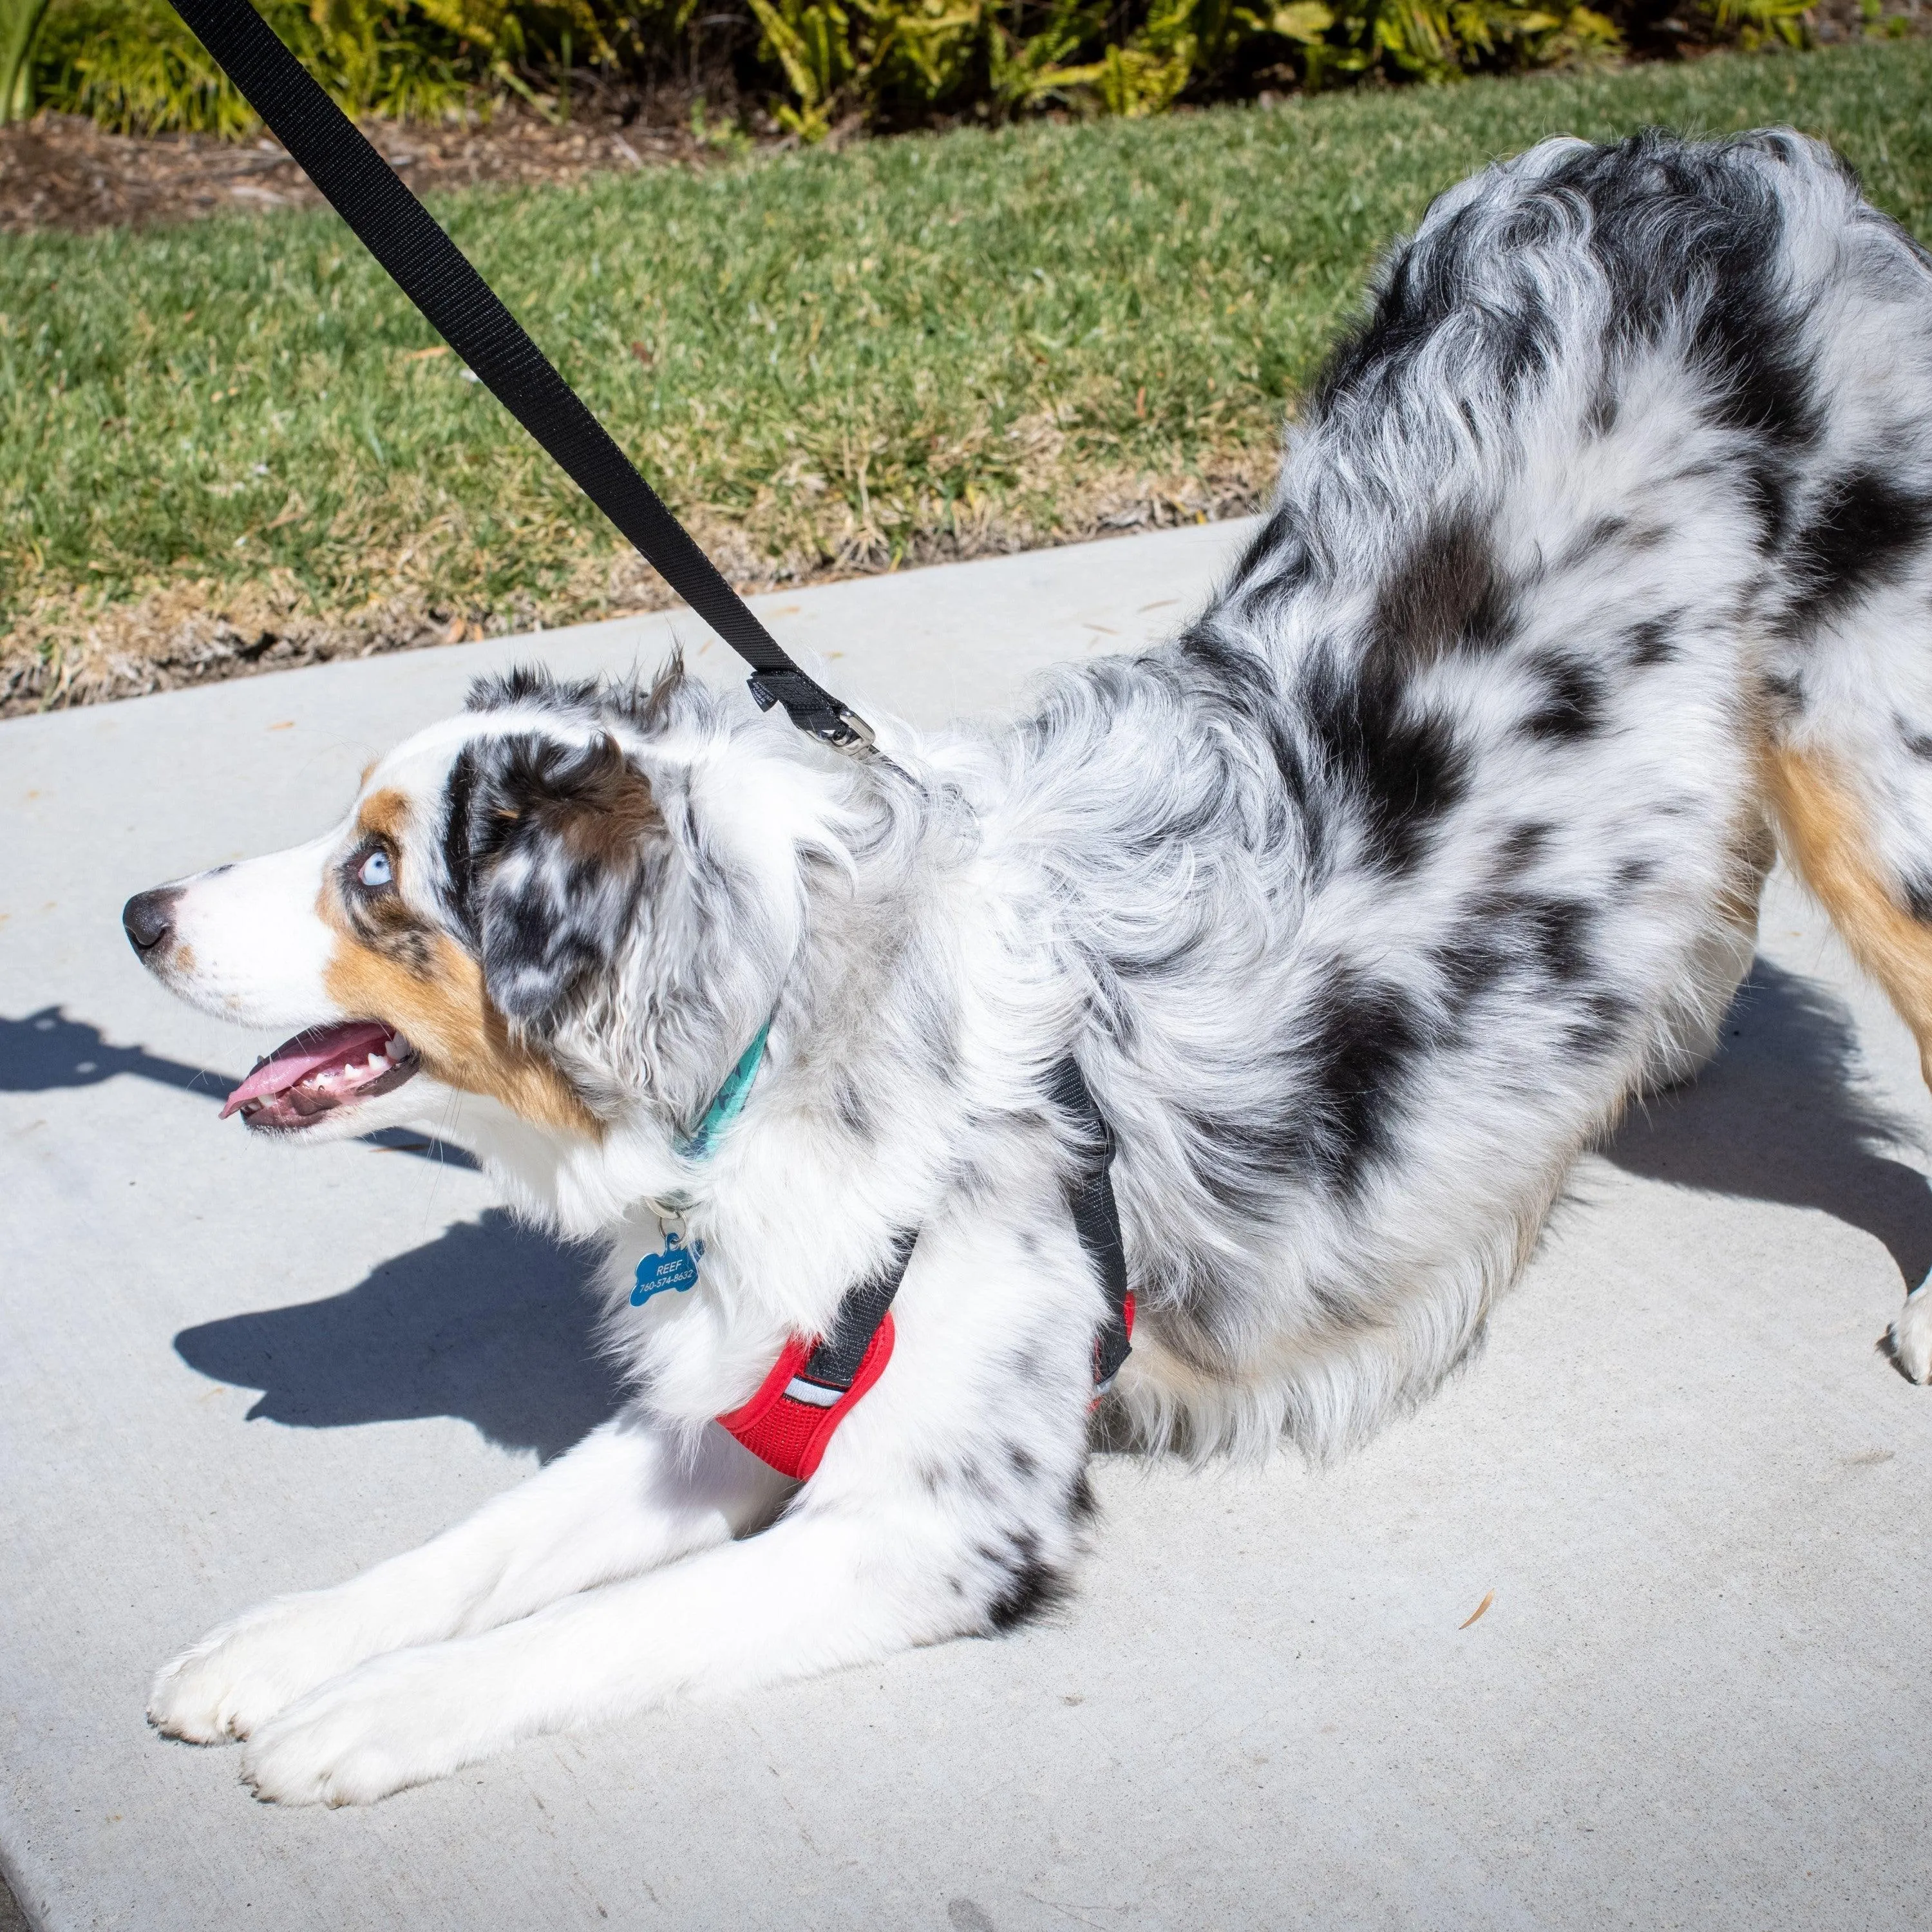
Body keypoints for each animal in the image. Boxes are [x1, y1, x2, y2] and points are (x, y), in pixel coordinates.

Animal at [124, 128, 1932, 1801]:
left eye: (375, 875)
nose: (137, 914)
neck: (788, 1026)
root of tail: (1718, 153)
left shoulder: (932, 1519)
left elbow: (583, 1633)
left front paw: (358, 1716)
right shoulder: (739, 1394)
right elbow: (491, 1543)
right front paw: (277, 1648)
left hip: (1859, 759)